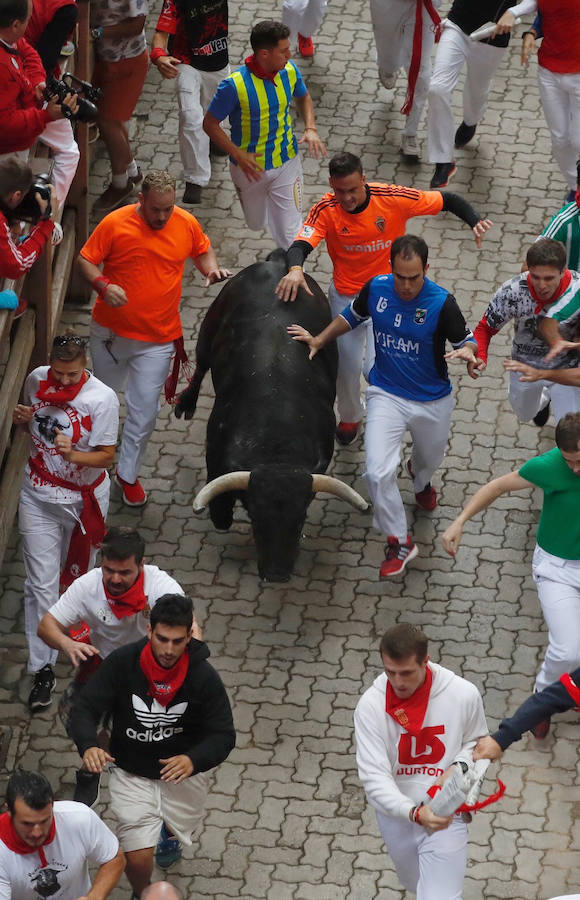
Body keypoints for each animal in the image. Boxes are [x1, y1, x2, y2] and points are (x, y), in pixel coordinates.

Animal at [176, 250, 368, 580]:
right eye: (254, 514)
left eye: (301, 516)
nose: (277, 573)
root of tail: (279, 262)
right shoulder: (215, 449)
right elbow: (220, 511)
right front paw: (222, 516)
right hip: (209, 327)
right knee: (200, 364)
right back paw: (186, 402)